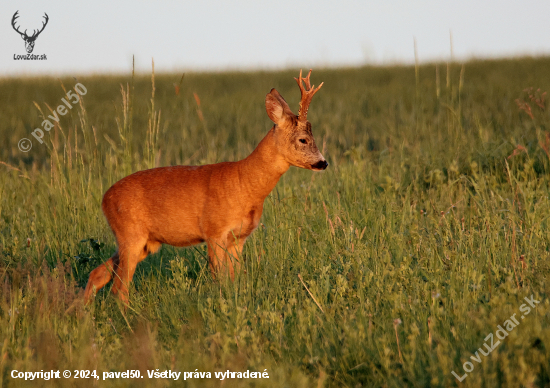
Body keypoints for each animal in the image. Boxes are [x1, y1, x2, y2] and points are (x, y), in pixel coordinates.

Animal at [84, 71, 330, 304]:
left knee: (97, 274)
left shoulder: (238, 238)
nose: (323, 162)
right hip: (131, 235)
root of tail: (105, 199)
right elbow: (219, 279)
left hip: (143, 242)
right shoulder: (214, 231)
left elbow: (235, 279)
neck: (245, 183)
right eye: (303, 139)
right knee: (118, 289)